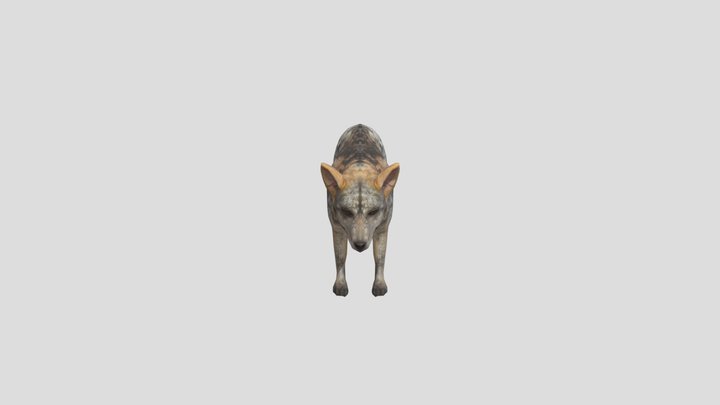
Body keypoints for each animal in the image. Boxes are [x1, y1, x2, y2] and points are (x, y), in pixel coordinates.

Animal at [320, 124, 400, 297]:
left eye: (373, 212)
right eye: (347, 212)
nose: (360, 245)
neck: (360, 165)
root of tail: (360, 125)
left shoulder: (382, 228)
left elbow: (380, 258)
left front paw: (379, 285)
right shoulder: (337, 228)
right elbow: (340, 257)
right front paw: (340, 285)